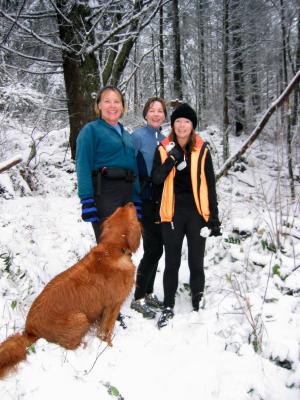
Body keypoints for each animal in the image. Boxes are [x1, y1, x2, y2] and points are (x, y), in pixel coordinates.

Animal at [0, 203, 142, 378]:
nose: (130, 203)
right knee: (69, 346)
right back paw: (83, 345)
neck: (113, 247)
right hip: (80, 318)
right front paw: (108, 346)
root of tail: (29, 331)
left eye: (119, 209)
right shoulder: (113, 305)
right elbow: (106, 331)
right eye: (132, 212)